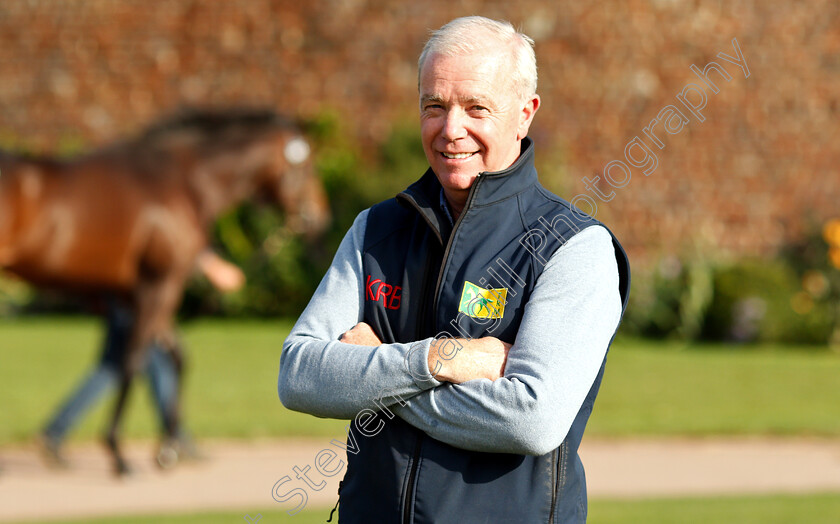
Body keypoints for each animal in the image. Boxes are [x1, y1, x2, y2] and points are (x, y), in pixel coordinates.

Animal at [0, 110, 330, 474]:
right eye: (309, 166)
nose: (321, 218)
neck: (183, 180)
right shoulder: (159, 286)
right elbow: (134, 358)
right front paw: (118, 451)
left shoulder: (143, 293)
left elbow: (175, 356)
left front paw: (168, 447)